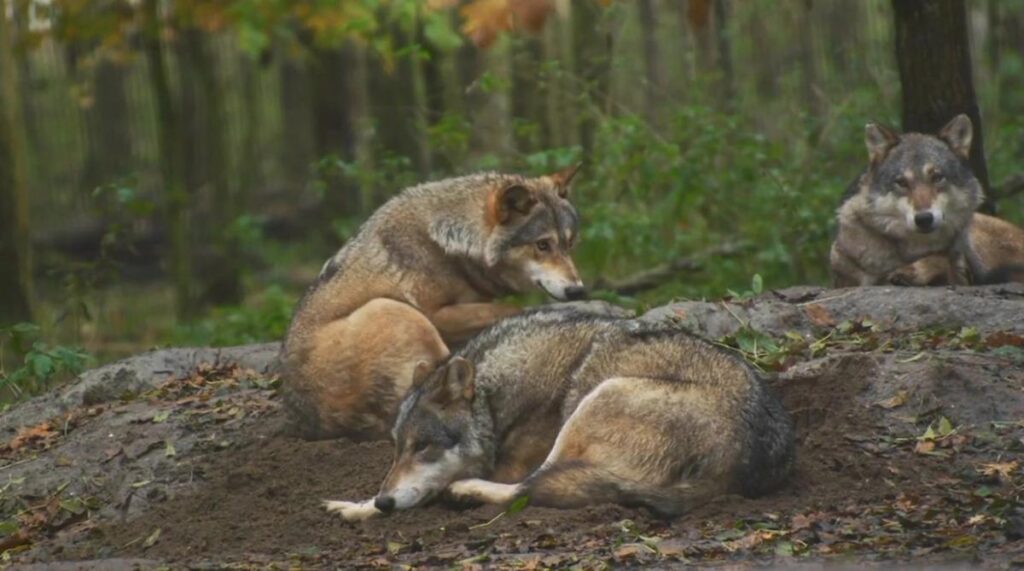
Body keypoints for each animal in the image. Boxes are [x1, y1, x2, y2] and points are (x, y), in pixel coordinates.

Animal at [280, 167, 585, 440]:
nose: (577, 290)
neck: (451, 243)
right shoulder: (436, 314)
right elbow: (511, 310)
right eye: (542, 245)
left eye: (570, 244)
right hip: (395, 311)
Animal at [323, 309, 794, 523]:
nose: (385, 500)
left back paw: (466, 492)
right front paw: (361, 503)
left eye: (424, 447)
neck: (498, 401)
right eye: (397, 448)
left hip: (598, 399)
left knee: (526, 489)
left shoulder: (511, 461)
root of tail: (736, 466)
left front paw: (362, 507)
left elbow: (438, 489)